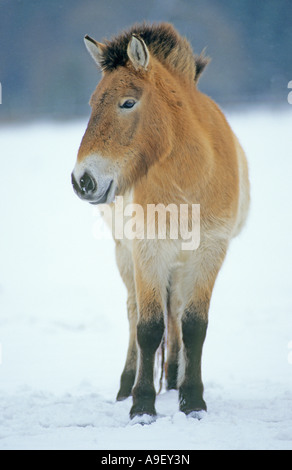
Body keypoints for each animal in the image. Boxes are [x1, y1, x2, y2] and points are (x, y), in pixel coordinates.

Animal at [70, 22, 249, 420]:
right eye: (92, 104)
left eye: (127, 102)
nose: (82, 180)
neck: (190, 178)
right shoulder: (148, 250)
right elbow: (148, 327)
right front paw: (142, 406)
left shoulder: (209, 252)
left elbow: (194, 325)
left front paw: (193, 401)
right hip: (126, 255)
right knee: (134, 311)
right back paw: (127, 385)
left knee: (177, 313)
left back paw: (174, 379)